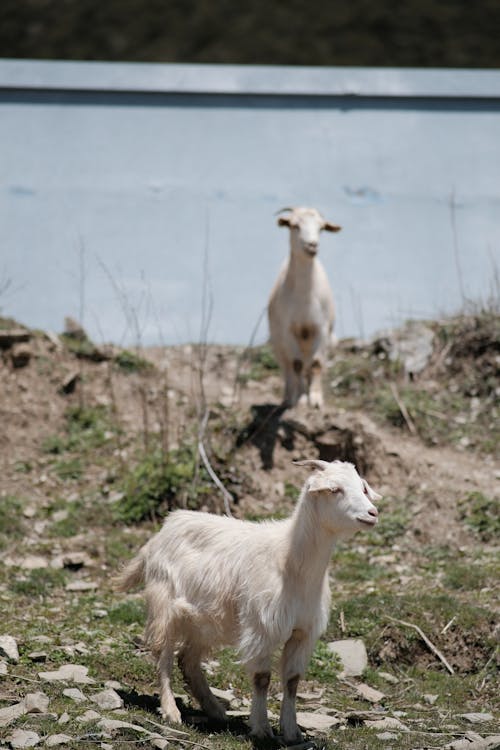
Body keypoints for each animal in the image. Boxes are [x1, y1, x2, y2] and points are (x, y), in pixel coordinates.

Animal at [115, 458, 378, 748]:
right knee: (164, 656)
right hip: (165, 605)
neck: (290, 561)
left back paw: (215, 710)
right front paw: (262, 729)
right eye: (334, 489)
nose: (372, 513)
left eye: (363, 487)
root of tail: (161, 532)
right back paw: (171, 711)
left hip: (204, 619)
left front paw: (291, 731)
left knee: (188, 660)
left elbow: (292, 681)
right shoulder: (262, 628)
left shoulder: (303, 632)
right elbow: (262, 679)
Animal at [268, 206, 342, 408]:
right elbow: (296, 364)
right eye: (294, 225)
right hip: (278, 342)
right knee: (287, 367)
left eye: (322, 228)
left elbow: (316, 364)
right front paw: (300, 399)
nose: (312, 245)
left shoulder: (321, 329)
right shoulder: (288, 330)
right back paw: (289, 397)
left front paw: (315, 399)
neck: (305, 300)